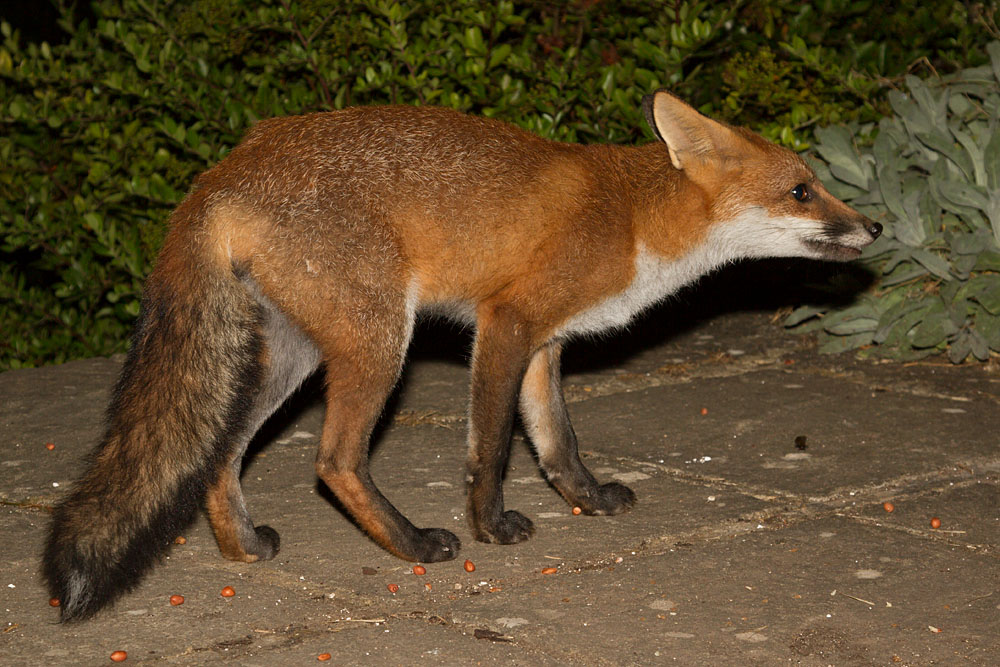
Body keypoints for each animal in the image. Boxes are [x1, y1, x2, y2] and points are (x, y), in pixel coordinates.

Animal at [43, 90, 881, 621]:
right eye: (802, 191)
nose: (873, 227)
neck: (635, 221)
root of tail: (220, 171)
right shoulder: (505, 320)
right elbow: (493, 447)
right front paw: (489, 527)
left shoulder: (546, 343)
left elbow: (558, 442)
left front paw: (587, 501)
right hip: (380, 340)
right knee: (334, 459)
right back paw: (411, 544)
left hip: (292, 353)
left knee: (222, 452)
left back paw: (242, 548)